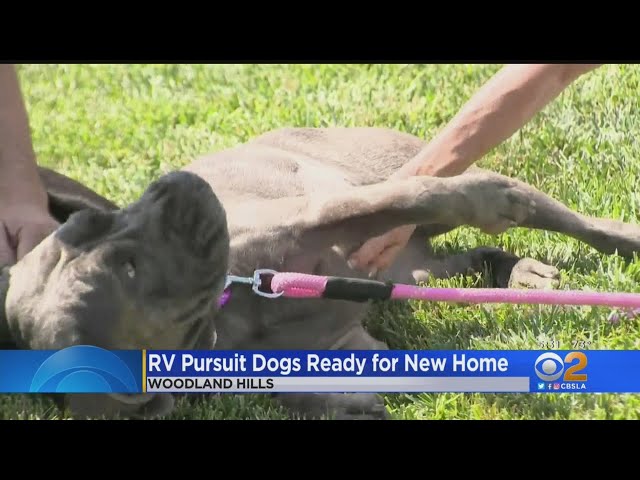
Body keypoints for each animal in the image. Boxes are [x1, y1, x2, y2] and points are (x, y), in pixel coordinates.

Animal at [1, 126, 639, 420]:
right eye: (128, 270)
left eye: (89, 219)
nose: (173, 182)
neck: (236, 311)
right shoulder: (351, 348)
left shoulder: (324, 211)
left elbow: (422, 195)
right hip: (417, 270)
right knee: (463, 262)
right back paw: (521, 274)